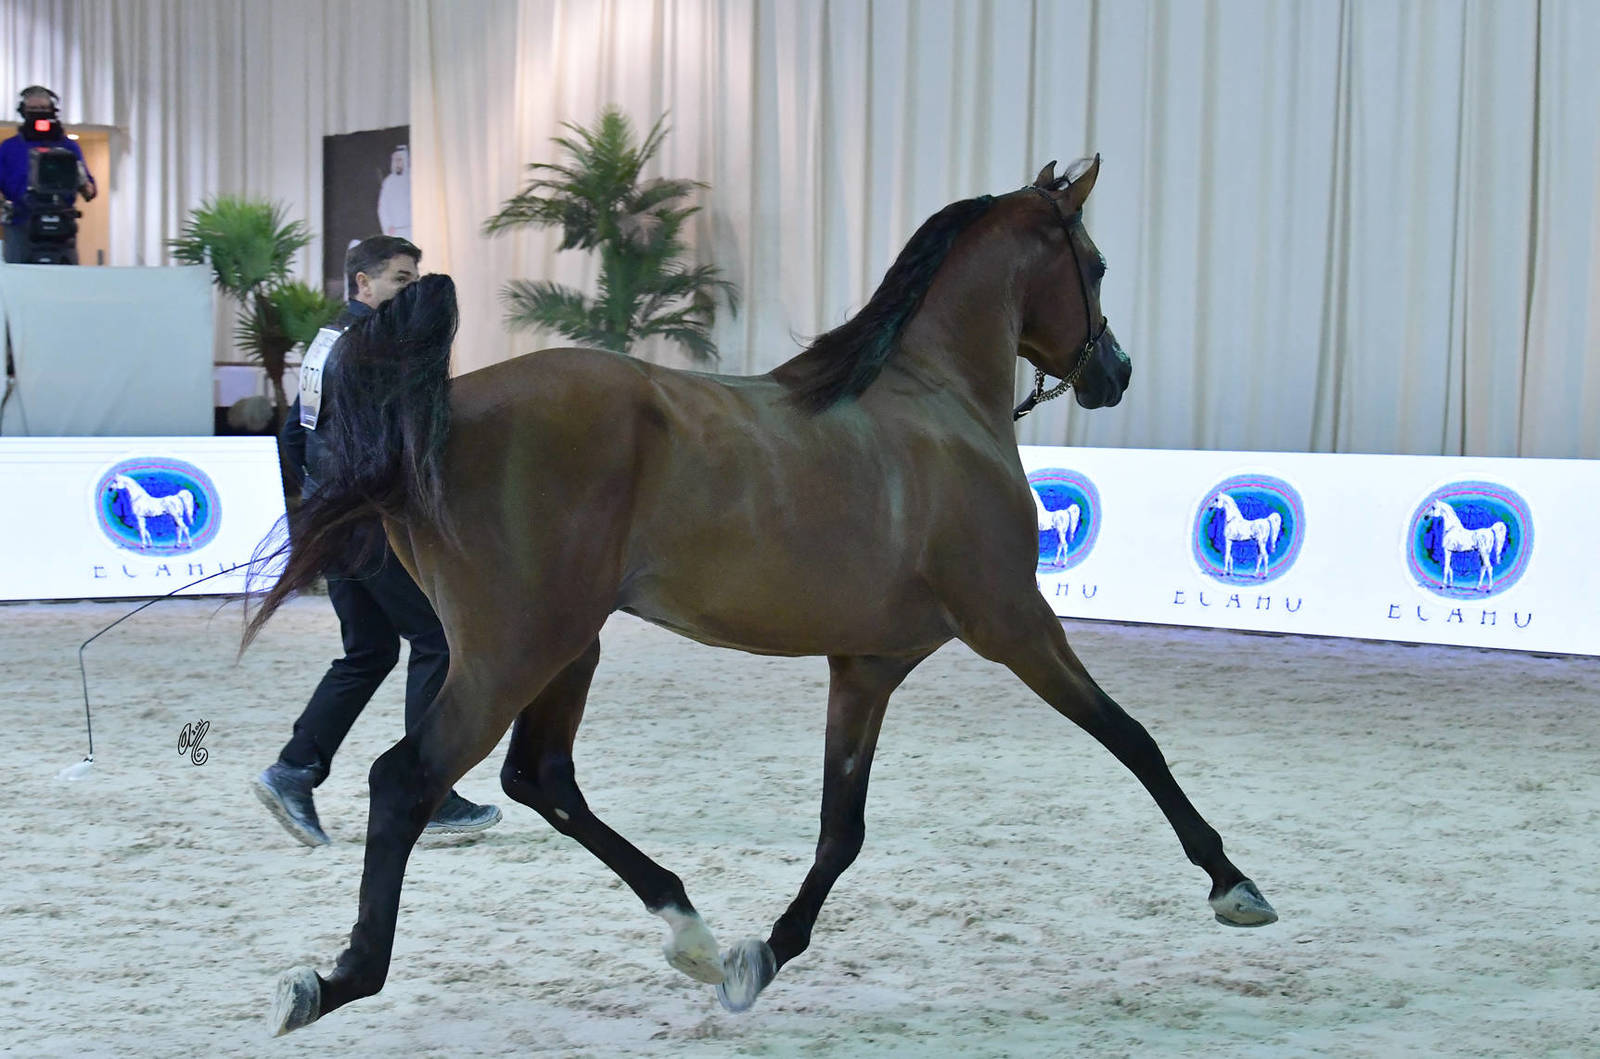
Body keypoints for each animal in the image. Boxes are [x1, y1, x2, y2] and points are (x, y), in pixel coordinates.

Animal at [248, 156, 1277, 1036]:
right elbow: (1134, 740)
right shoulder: (1016, 622)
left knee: (539, 777)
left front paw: (762, 957)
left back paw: (693, 933)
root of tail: (447, 410)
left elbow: (839, 830)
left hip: (564, 647)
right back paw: (336, 979)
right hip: (515, 651)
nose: (1115, 373)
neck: (938, 405)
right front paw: (1235, 884)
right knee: (409, 779)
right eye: (1094, 264)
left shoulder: (868, 667)